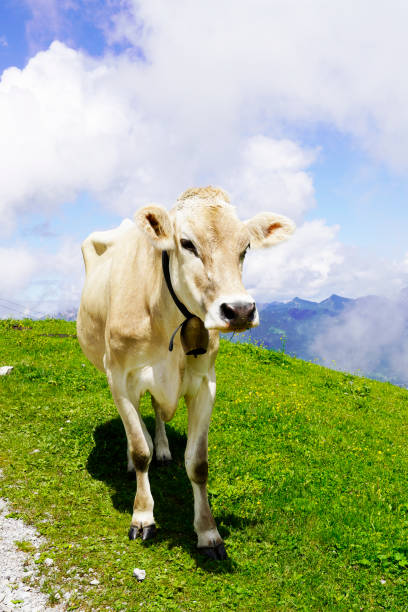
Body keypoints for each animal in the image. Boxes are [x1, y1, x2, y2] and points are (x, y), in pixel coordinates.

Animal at [76, 185, 294, 560]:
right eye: (187, 243)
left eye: (245, 248)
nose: (239, 310)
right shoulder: (119, 376)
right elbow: (140, 450)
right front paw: (143, 516)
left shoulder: (206, 384)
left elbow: (198, 464)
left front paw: (208, 533)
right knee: (135, 423)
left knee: (156, 410)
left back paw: (163, 447)